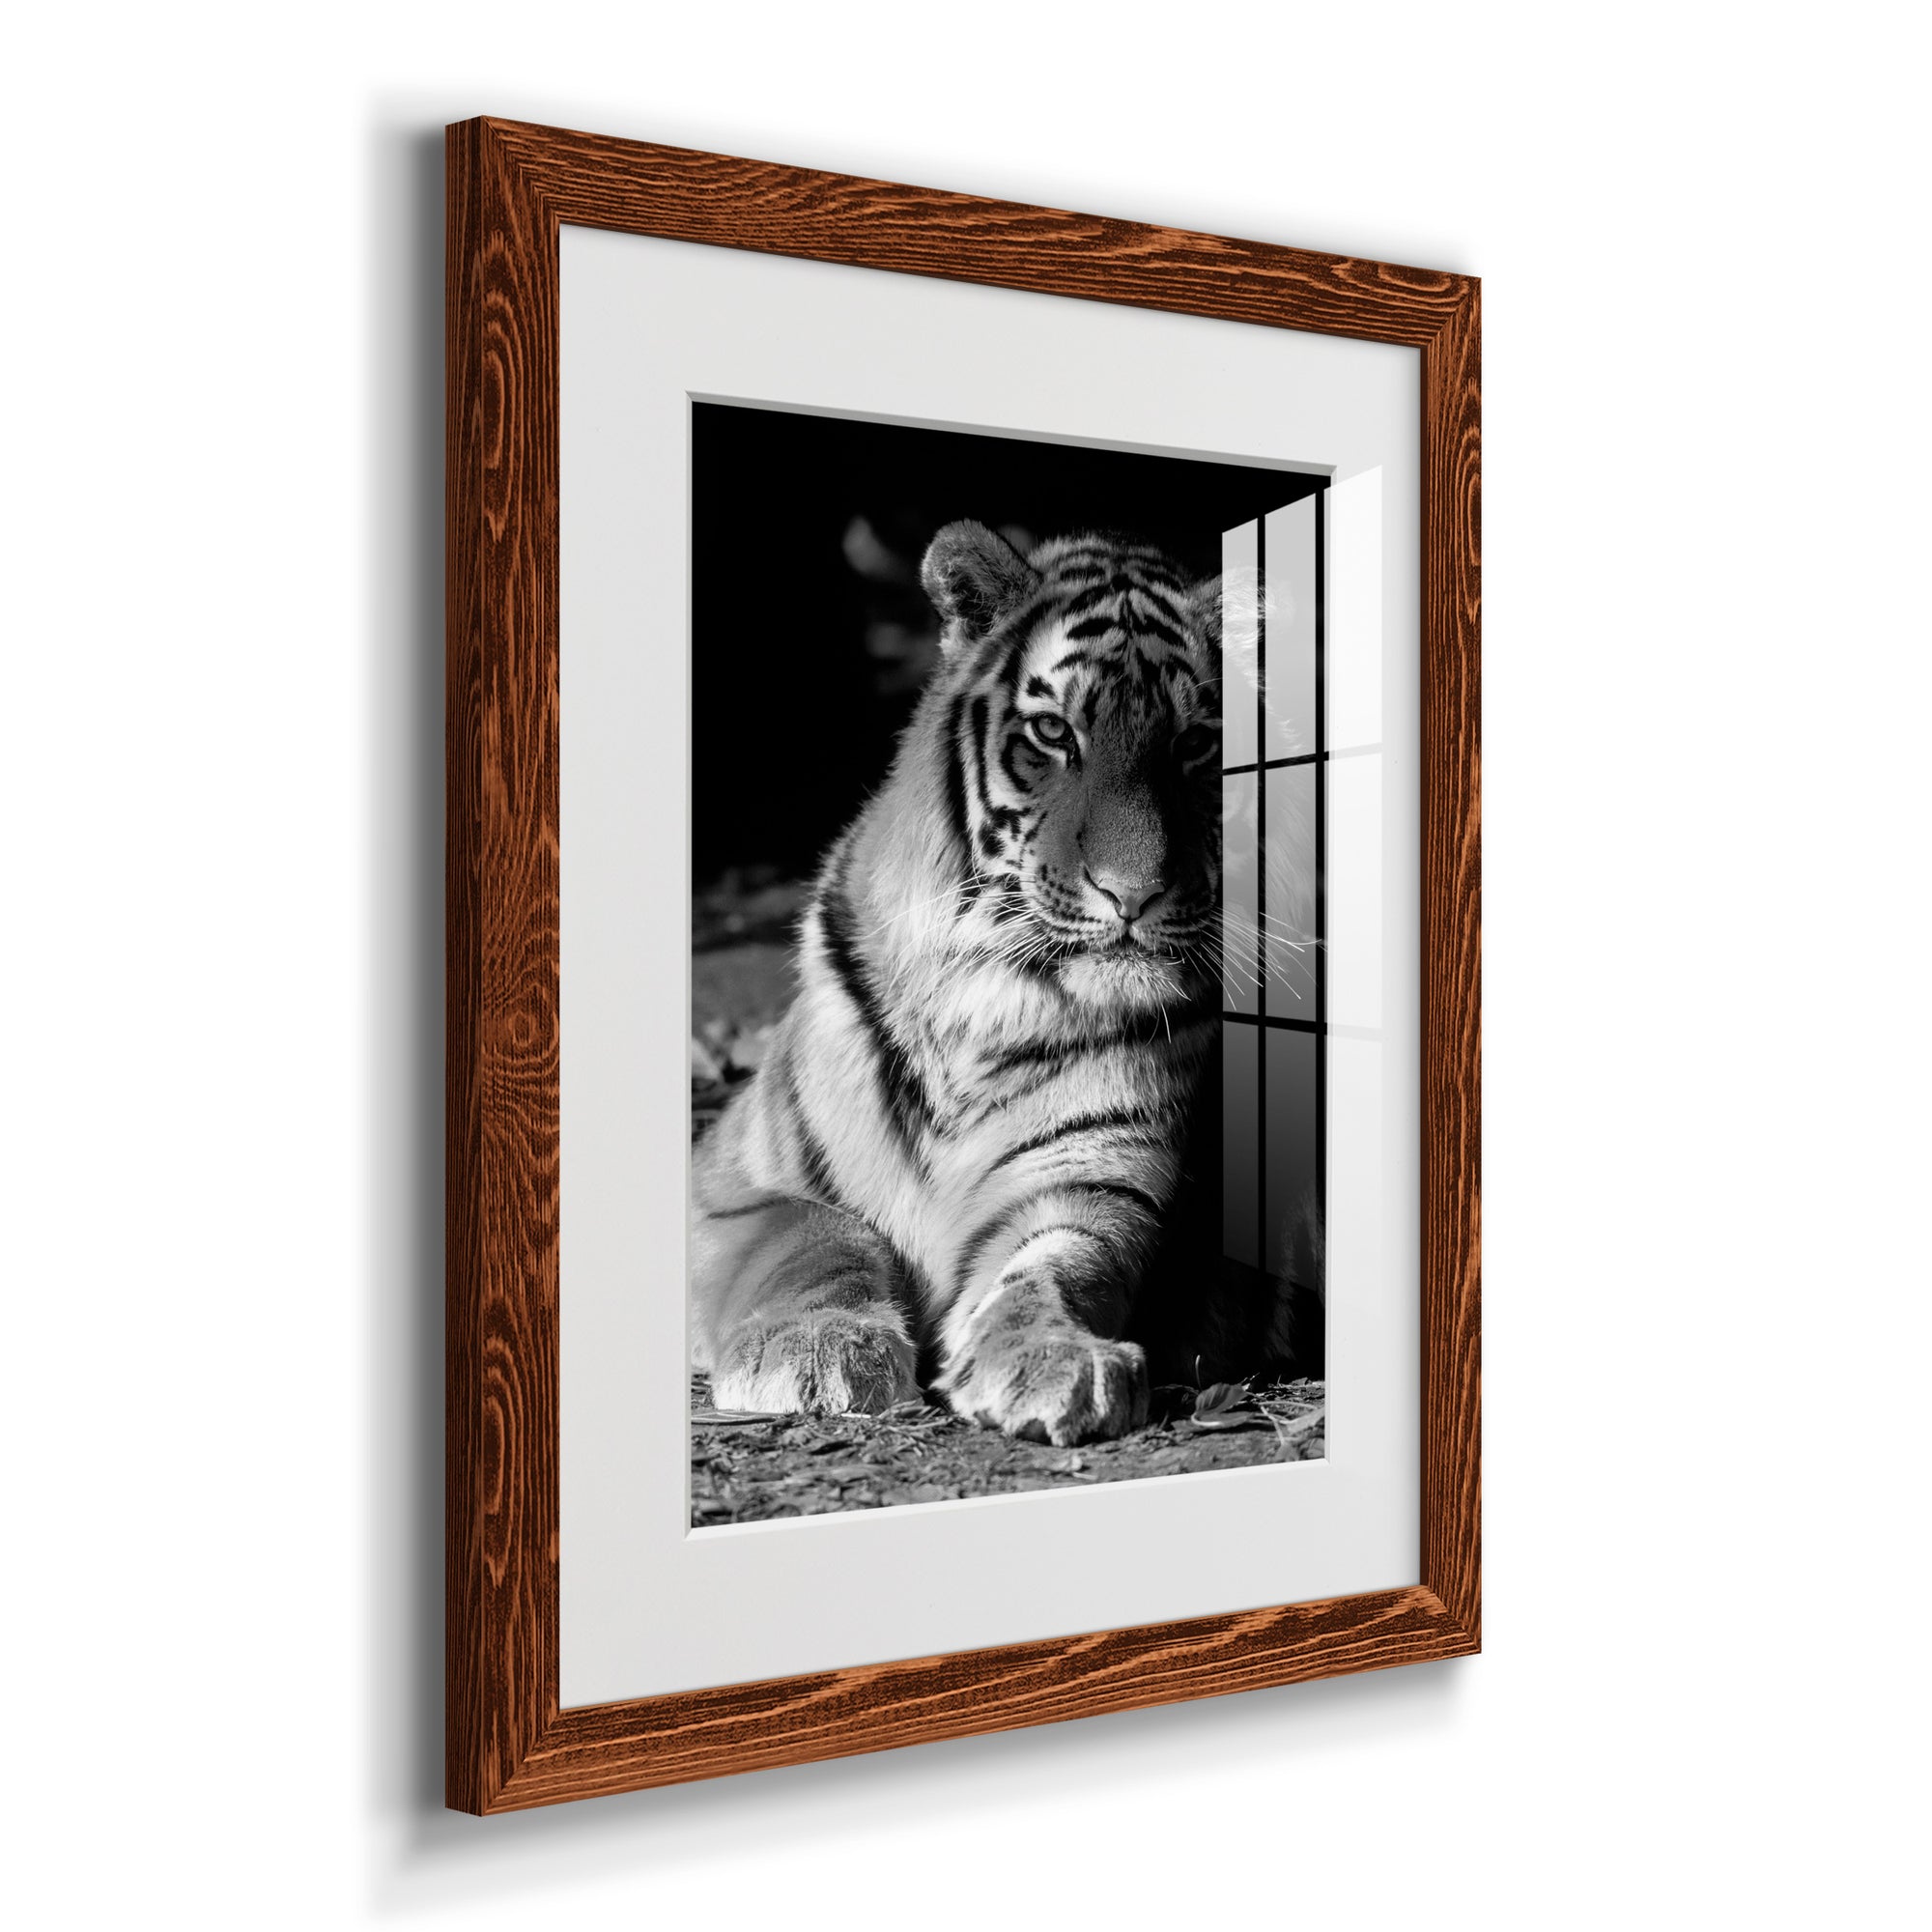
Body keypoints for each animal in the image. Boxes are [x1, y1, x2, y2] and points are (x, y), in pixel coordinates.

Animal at [690, 520, 1278, 1446]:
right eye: (1053, 733)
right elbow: (817, 1234)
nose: (1133, 894)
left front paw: (1055, 1360)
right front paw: (818, 1348)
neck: (989, 998)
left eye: (1195, 744)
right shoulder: (730, 1185)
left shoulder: (1089, 1182)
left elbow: (1054, 1268)